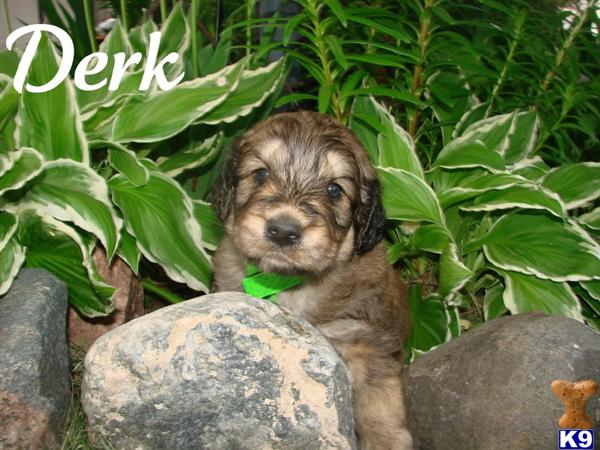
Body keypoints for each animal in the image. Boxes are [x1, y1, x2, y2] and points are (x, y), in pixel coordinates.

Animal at [211, 110, 412, 450]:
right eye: (261, 173)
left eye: (334, 190)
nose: (283, 231)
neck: (288, 284)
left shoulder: (365, 336)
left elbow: (378, 398)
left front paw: (384, 439)